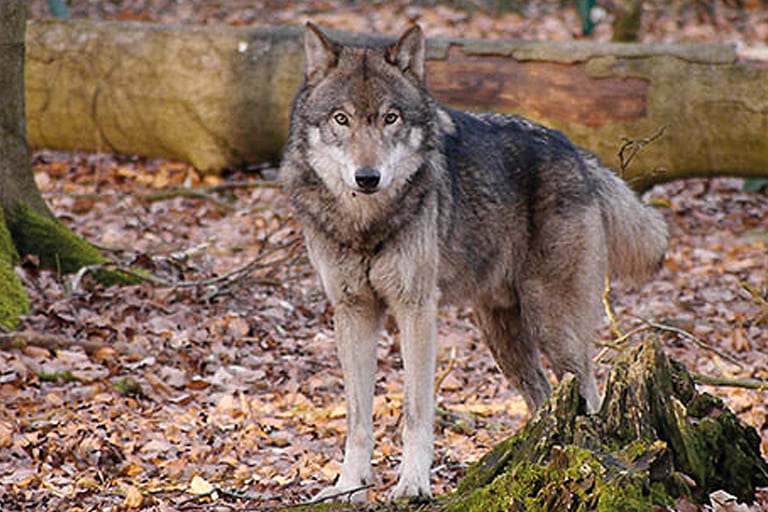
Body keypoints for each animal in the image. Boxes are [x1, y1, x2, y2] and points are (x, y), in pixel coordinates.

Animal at [280, 23, 668, 500]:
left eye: (391, 118)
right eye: (341, 119)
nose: (367, 177)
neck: (366, 223)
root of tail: (576, 152)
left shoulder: (416, 309)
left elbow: (415, 411)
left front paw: (412, 484)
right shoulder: (352, 311)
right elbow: (357, 419)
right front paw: (348, 487)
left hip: (554, 327)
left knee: (589, 396)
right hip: (503, 336)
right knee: (544, 399)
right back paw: (538, 463)